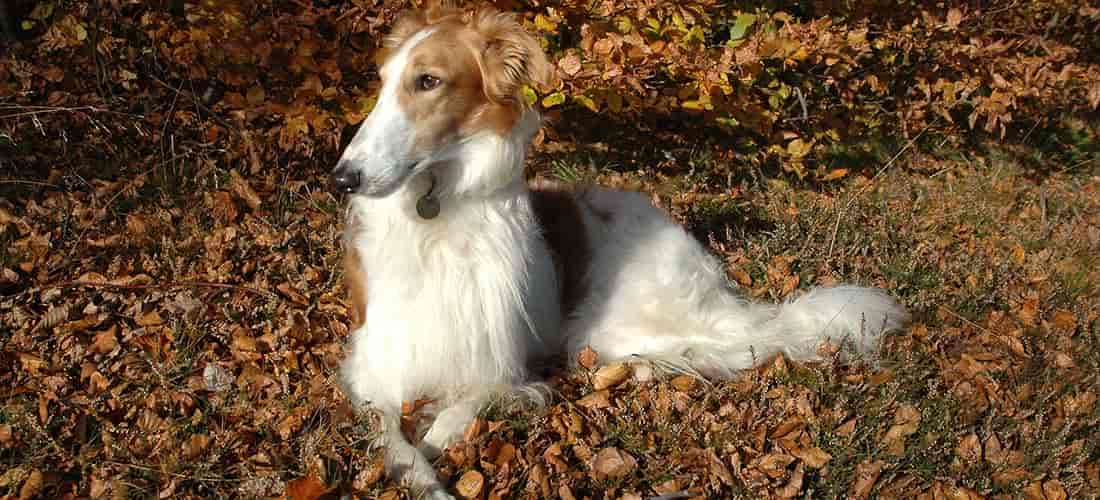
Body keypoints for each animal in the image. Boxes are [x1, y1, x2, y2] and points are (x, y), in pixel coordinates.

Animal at [327, 6, 910, 496]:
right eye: (382, 84)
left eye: (428, 81)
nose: (342, 179)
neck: (437, 214)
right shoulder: (372, 365)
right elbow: (393, 438)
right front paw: (416, 469)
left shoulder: (505, 365)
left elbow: (462, 410)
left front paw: (438, 441)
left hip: (605, 329)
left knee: (742, 349)